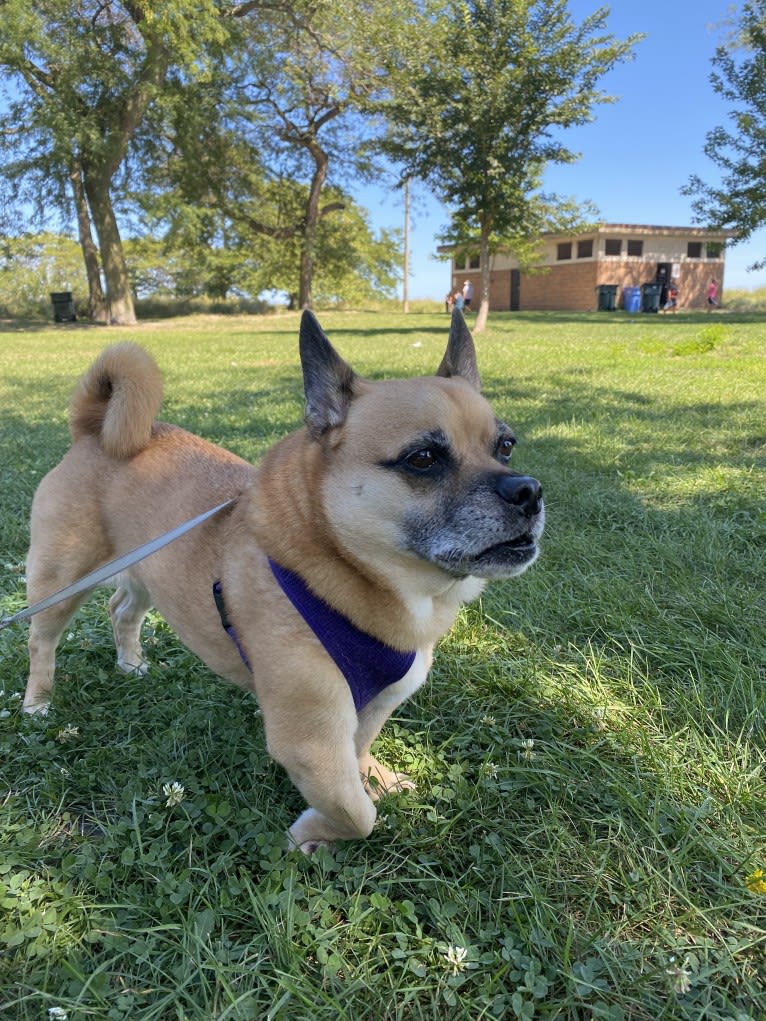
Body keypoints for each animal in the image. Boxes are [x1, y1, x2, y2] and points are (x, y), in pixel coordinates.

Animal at [20, 310, 543, 853]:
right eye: (423, 459)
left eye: (506, 446)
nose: (529, 491)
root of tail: (92, 432)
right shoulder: (311, 742)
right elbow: (357, 812)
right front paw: (312, 832)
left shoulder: (374, 707)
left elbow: (359, 754)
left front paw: (372, 774)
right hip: (62, 578)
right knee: (41, 640)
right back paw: (37, 702)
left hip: (147, 571)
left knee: (121, 610)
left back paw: (130, 661)